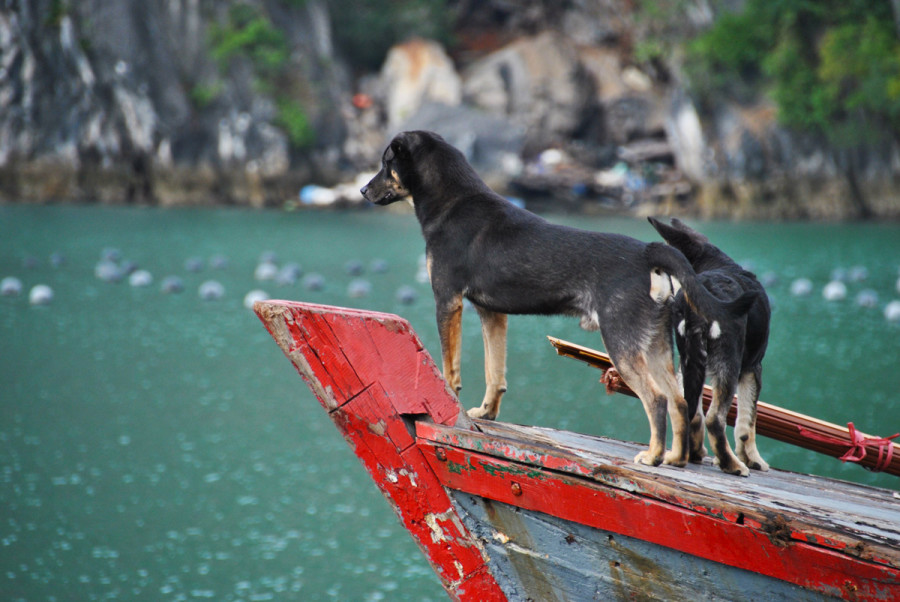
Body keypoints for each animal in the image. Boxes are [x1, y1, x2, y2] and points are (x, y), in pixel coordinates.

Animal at [360, 131, 752, 466]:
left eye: (385, 162)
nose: (363, 190)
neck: (452, 202)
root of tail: (649, 253)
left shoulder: (447, 300)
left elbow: (450, 367)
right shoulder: (490, 313)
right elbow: (494, 372)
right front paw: (486, 413)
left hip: (622, 344)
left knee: (655, 399)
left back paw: (653, 456)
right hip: (654, 344)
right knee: (678, 400)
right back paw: (674, 459)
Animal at [652, 216, 768, 474]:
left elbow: (695, 412)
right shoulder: (753, 367)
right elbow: (747, 424)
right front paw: (753, 459)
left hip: (690, 359)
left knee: (685, 408)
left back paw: (680, 456)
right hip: (729, 365)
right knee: (715, 418)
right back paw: (733, 465)